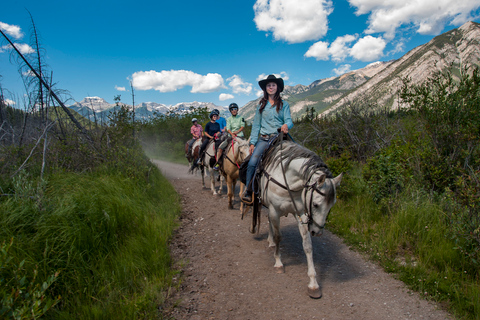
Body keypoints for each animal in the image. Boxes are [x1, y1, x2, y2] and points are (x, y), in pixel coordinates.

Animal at [255, 139, 342, 298]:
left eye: (332, 206)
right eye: (315, 204)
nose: (317, 232)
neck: (288, 181)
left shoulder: (300, 213)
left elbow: (307, 245)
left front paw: (313, 284)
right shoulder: (275, 210)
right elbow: (278, 236)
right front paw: (278, 263)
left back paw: (270, 241)